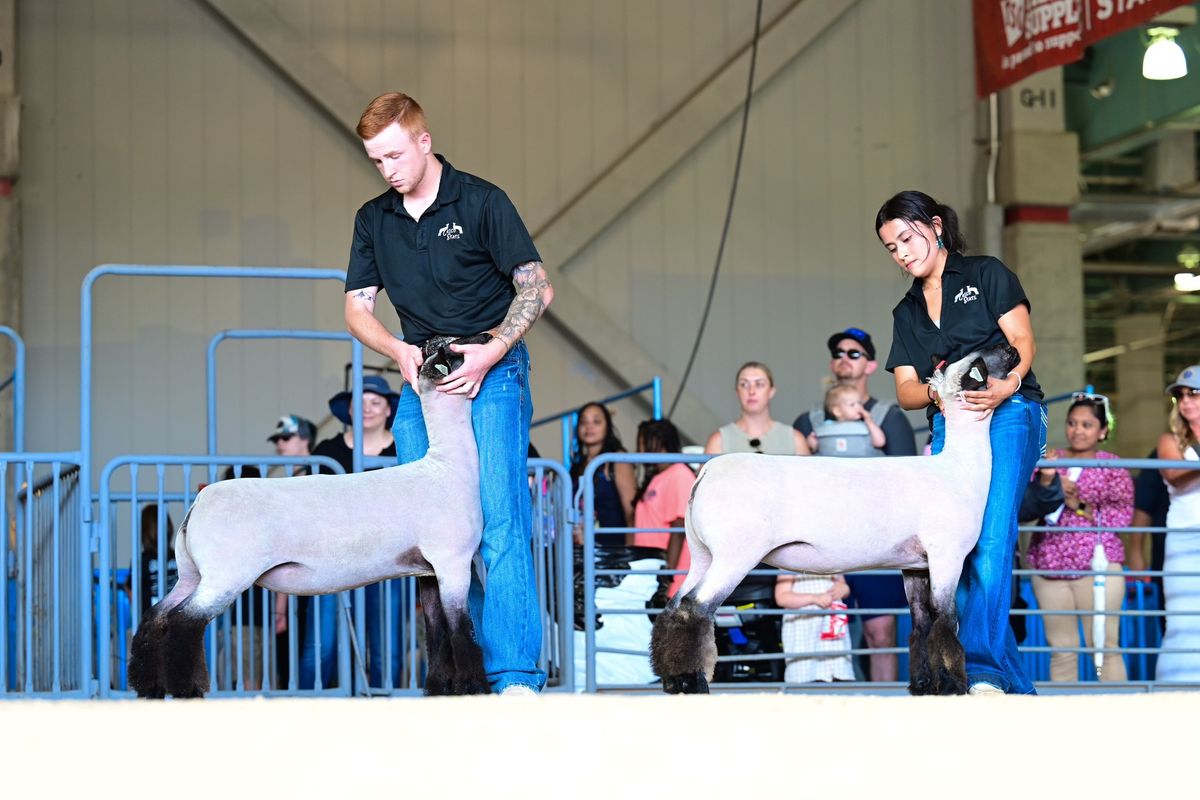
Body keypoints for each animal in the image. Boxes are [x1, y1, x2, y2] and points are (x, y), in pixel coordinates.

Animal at [127, 335, 492, 695]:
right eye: (456, 347)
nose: (487, 337)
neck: (447, 467)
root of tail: (197, 504)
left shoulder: (426, 571)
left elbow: (438, 635)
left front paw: (440, 688)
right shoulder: (453, 561)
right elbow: (462, 633)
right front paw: (474, 687)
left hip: (192, 574)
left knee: (154, 617)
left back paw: (149, 687)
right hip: (225, 574)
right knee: (182, 624)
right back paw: (186, 691)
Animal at [652, 345, 1017, 695]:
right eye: (982, 360)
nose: (1013, 349)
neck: (959, 468)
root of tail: (706, 472)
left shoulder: (914, 565)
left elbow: (921, 624)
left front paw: (924, 686)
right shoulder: (947, 554)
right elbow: (945, 620)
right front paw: (952, 686)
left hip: (702, 552)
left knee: (672, 606)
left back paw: (672, 681)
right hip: (734, 553)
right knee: (694, 607)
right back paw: (693, 683)